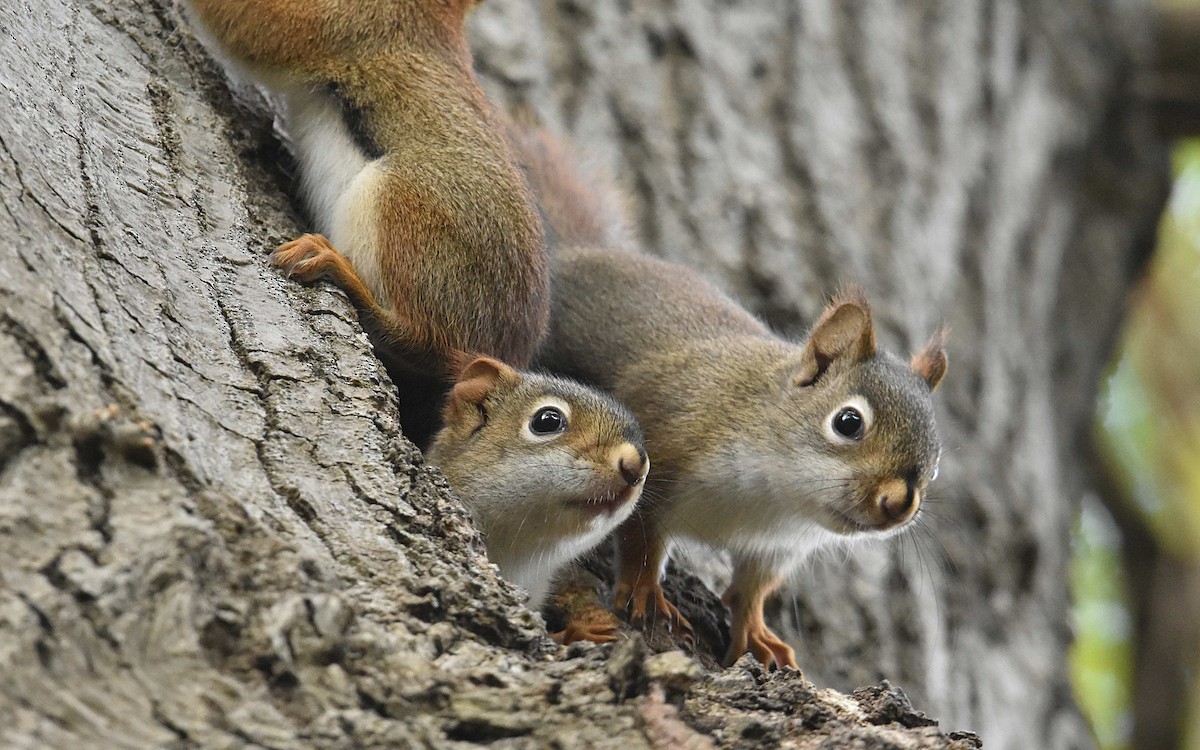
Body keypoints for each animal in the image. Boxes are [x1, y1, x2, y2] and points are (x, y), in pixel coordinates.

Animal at [509, 125, 948, 670]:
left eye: (936, 466)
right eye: (848, 422)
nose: (898, 504)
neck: (777, 494)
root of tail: (575, 255)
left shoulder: (775, 547)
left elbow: (755, 589)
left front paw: (757, 634)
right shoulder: (664, 454)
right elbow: (642, 540)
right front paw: (645, 592)